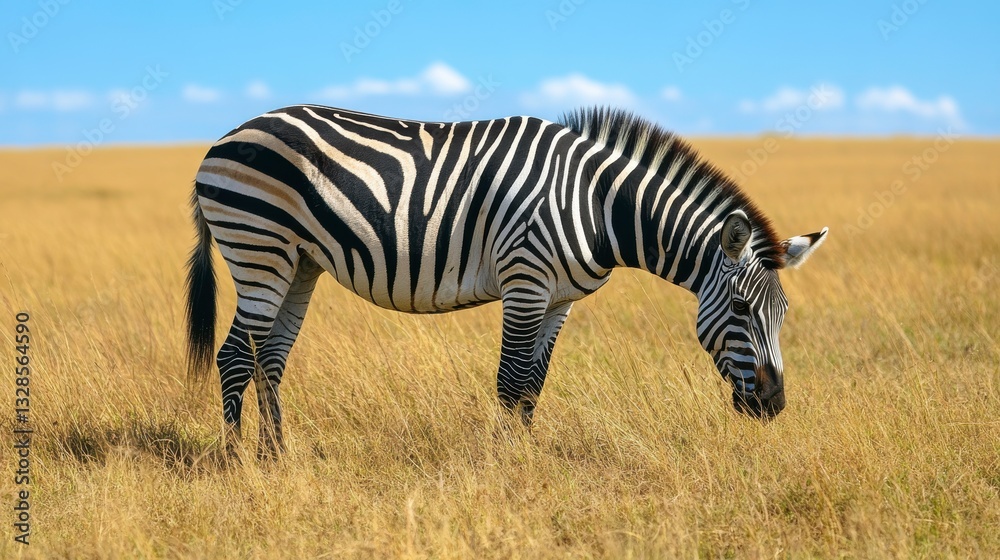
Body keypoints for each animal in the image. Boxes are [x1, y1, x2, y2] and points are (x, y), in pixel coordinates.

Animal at [185, 105, 828, 457]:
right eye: (741, 310)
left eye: (783, 316)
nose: (774, 405)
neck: (598, 206)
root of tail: (226, 137)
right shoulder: (526, 281)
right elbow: (509, 380)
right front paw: (505, 465)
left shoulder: (560, 300)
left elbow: (533, 384)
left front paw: (527, 454)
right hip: (258, 248)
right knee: (234, 356)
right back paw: (239, 464)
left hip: (300, 263)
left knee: (269, 357)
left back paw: (277, 456)